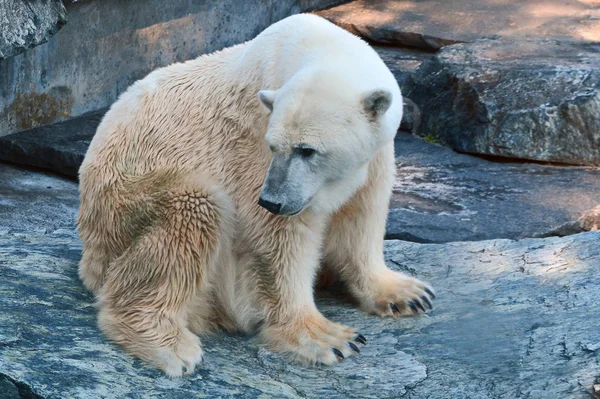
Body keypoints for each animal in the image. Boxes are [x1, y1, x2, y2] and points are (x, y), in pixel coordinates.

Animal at [78, 13, 436, 378]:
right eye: (274, 146)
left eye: (308, 150)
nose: (273, 201)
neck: (314, 44)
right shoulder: (253, 143)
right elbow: (279, 239)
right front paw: (329, 339)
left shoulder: (376, 154)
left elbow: (362, 212)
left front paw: (408, 293)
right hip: (121, 203)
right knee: (192, 208)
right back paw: (170, 345)